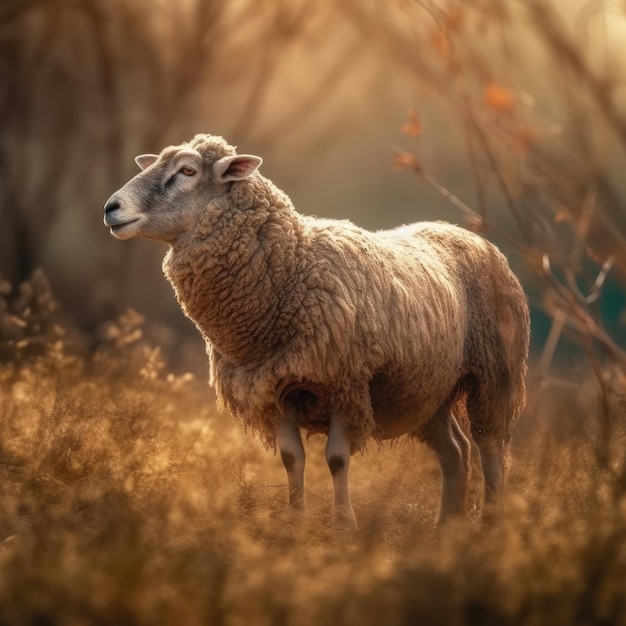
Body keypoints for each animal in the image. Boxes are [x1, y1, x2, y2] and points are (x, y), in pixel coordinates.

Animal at [102, 133, 528, 528]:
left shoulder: (344, 383)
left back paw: (488, 523)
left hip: (495, 372)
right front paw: (296, 520)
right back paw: (445, 526)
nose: (111, 208)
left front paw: (343, 524)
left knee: (490, 447)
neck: (291, 266)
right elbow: (292, 459)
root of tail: (464, 232)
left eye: (188, 171)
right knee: (455, 450)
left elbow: (336, 459)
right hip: (424, 387)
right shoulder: (273, 387)